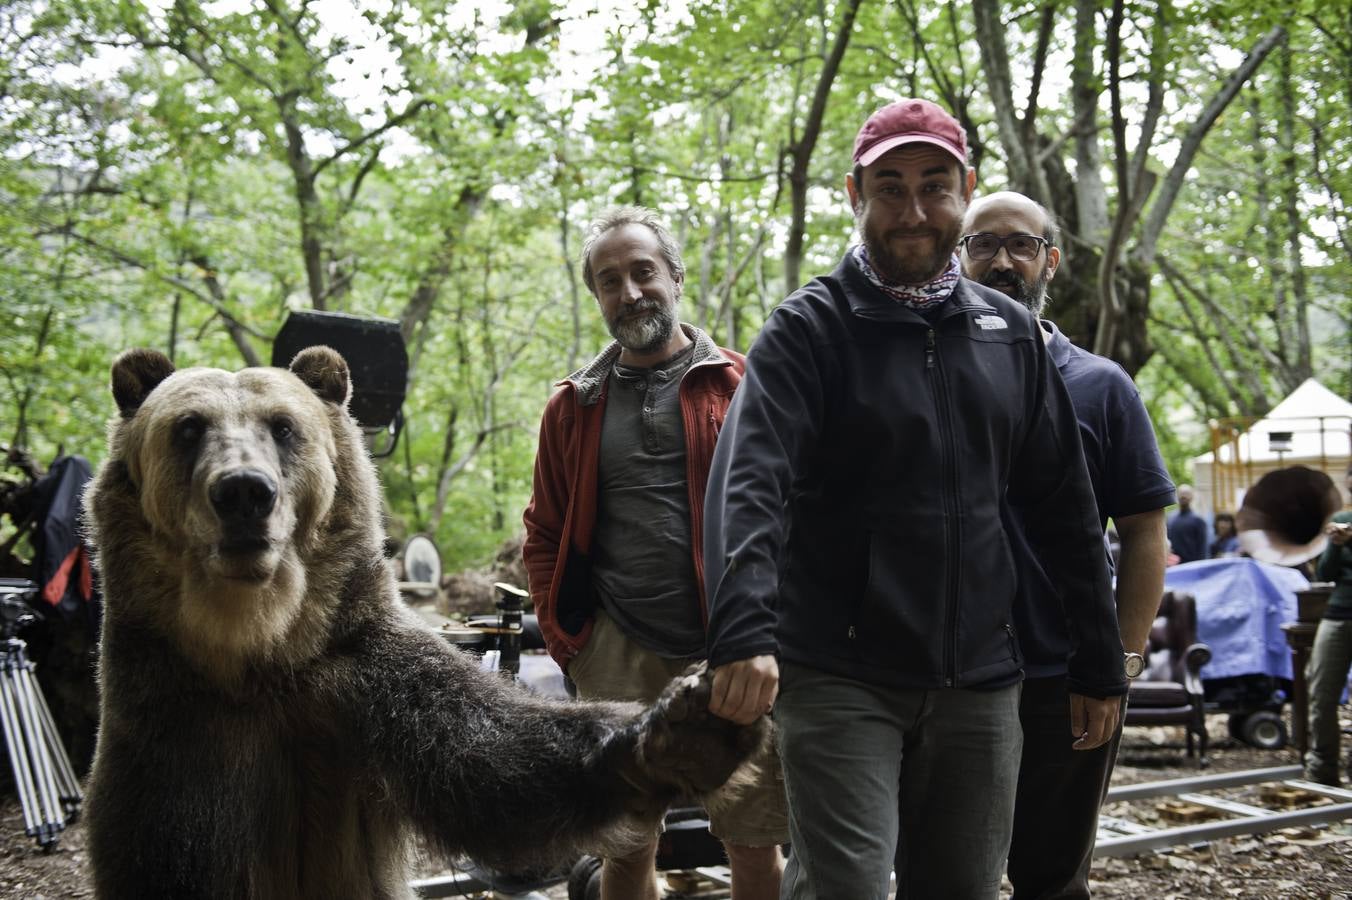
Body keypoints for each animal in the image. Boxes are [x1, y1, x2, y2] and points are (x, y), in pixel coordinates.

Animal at [84, 344, 767, 897]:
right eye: (188, 427)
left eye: (282, 426)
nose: (244, 492)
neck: (258, 650)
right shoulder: (169, 729)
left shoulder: (360, 676)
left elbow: (494, 759)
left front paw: (685, 729)